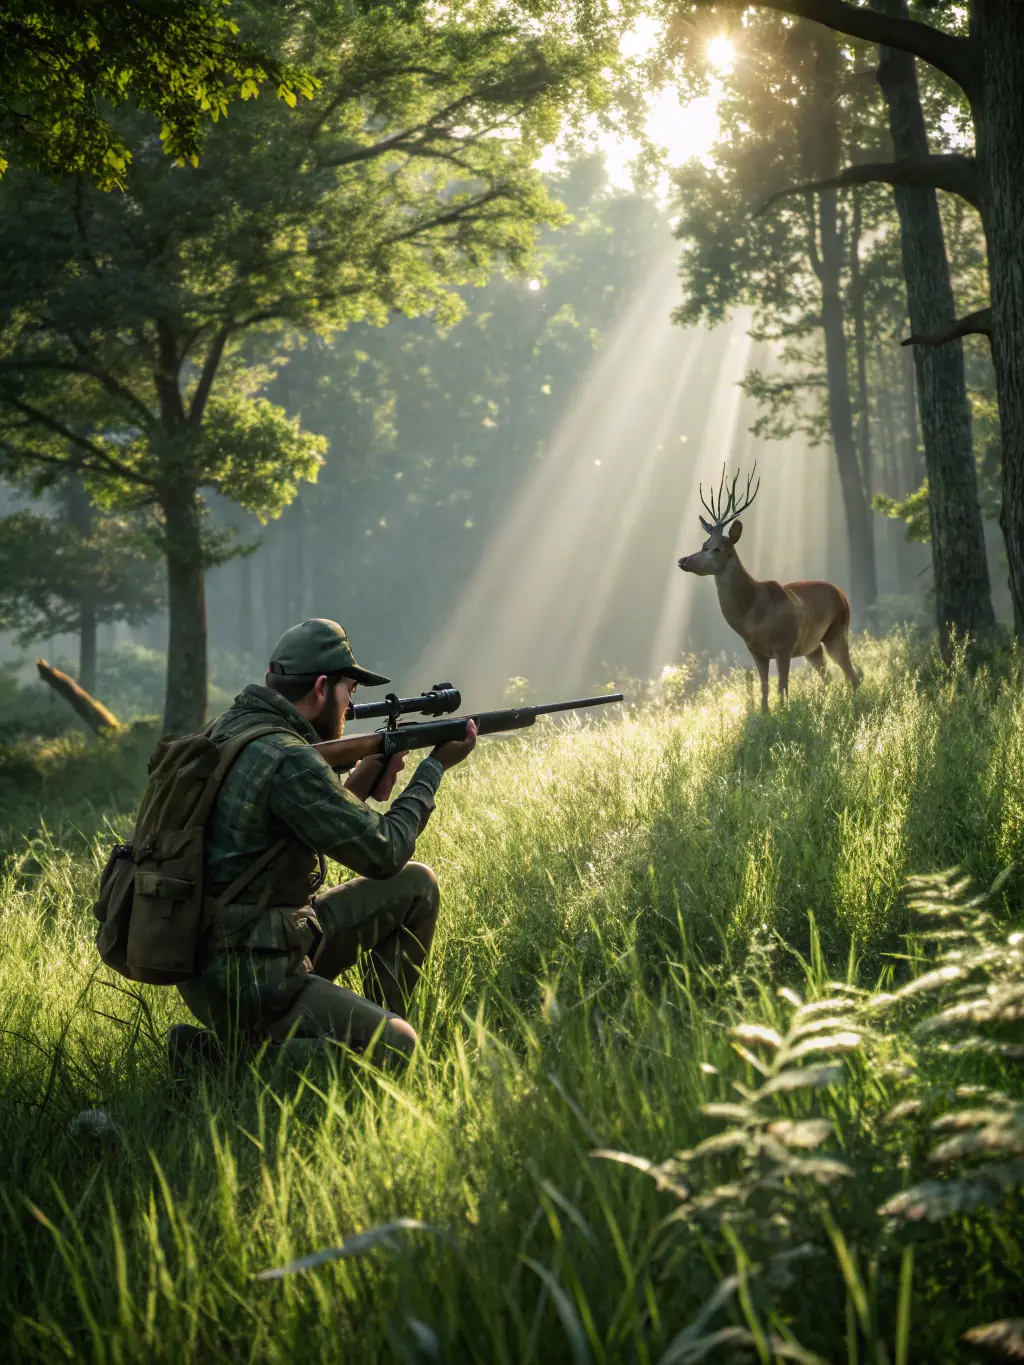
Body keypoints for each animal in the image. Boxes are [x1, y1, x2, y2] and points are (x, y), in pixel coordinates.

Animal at [677, 464, 861, 713]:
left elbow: (782, 688)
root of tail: (842, 594)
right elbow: (764, 692)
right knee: (827, 676)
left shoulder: (784, 644)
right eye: (703, 544)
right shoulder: (756, 650)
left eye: (716, 548)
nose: (683, 560)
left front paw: (785, 714)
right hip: (812, 646)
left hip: (837, 629)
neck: (751, 617)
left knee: (851, 674)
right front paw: (767, 714)